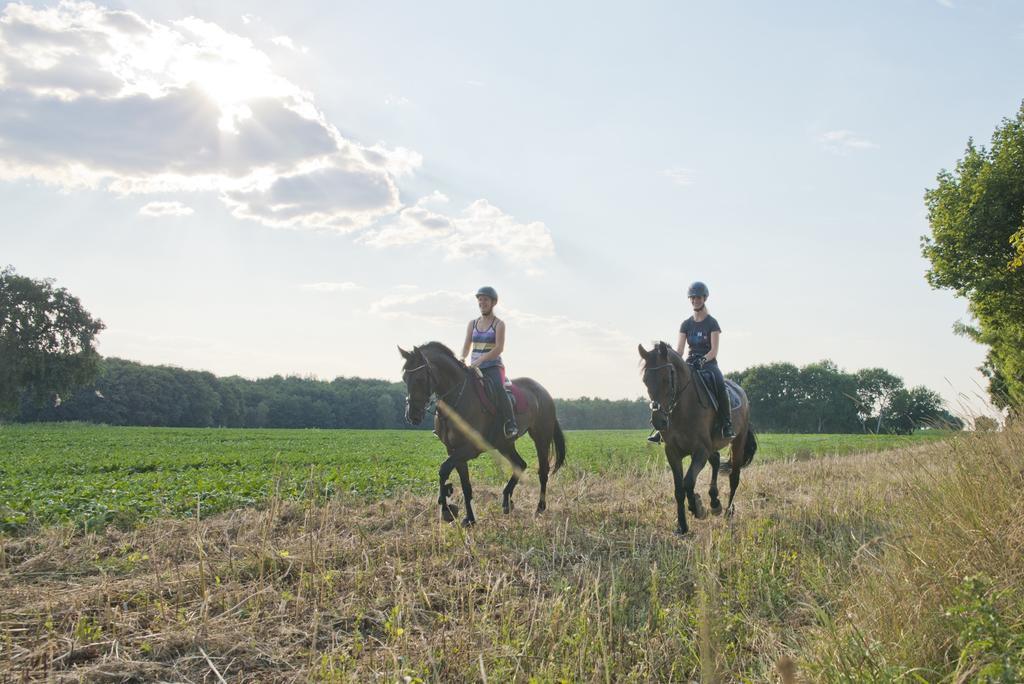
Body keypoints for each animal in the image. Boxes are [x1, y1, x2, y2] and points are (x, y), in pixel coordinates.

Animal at [397, 344, 569, 528]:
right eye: (404, 378)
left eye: (420, 379)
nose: (412, 415)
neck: (457, 398)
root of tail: (544, 391)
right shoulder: (454, 450)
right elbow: (465, 485)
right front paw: (469, 518)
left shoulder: (470, 449)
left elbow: (443, 470)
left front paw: (447, 509)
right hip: (504, 444)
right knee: (520, 464)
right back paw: (507, 501)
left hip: (541, 437)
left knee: (543, 471)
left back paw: (539, 508)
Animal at [634, 339, 757, 532]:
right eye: (645, 380)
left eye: (668, 378)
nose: (658, 421)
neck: (683, 409)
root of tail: (741, 392)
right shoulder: (673, 452)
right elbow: (679, 489)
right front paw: (682, 526)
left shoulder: (700, 451)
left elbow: (688, 482)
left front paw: (698, 508)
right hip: (713, 445)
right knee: (716, 462)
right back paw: (715, 503)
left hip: (737, 442)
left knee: (734, 477)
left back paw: (728, 512)